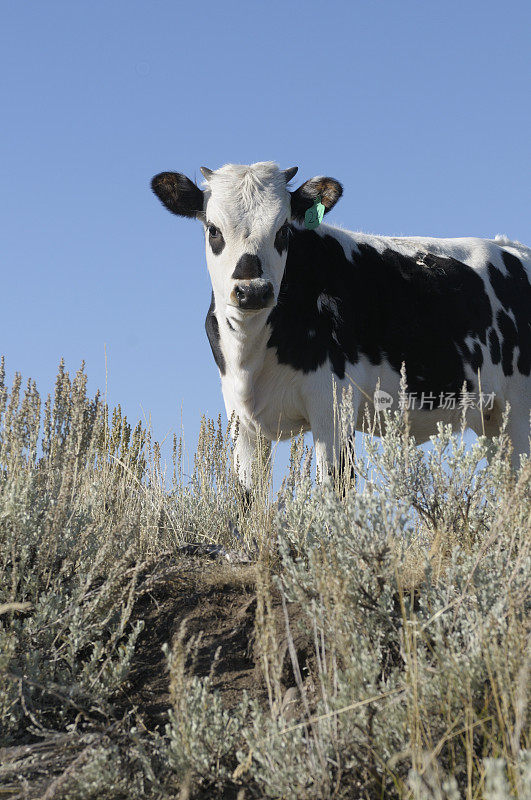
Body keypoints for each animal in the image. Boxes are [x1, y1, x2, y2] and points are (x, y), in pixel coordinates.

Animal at [152, 160, 528, 484]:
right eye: (213, 229)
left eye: (283, 230)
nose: (253, 291)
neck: (251, 352)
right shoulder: (241, 422)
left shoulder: (333, 407)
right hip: (494, 422)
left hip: (520, 413)